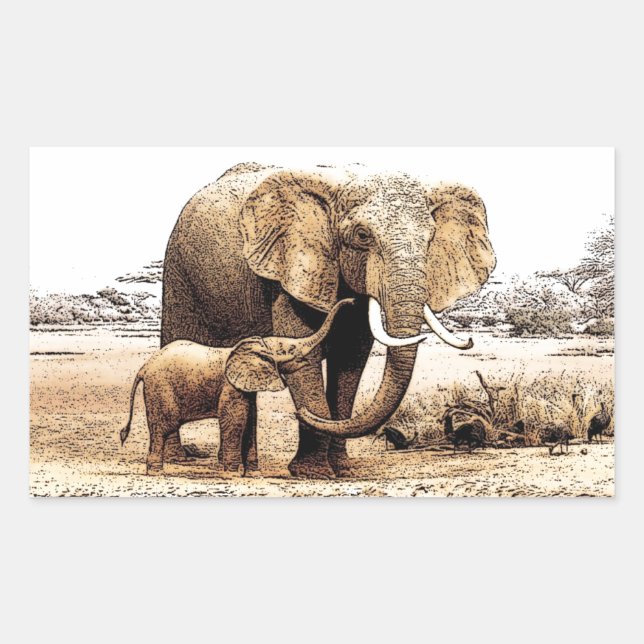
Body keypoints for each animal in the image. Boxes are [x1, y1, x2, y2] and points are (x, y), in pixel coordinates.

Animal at [121, 299, 353, 474]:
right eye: (290, 349)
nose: (351, 301)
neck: (259, 344)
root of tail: (143, 367)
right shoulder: (230, 387)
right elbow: (236, 421)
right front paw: (232, 473)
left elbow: (251, 422)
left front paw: (254, 474)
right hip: (160, 389)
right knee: (161, 428)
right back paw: (156, 472)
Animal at [161, 162, 496, 478]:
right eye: (362, 235)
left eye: (430, 239)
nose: (301, 413)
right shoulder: (290, 271)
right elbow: (302, 355)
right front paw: (314, 473)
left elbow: (351, 361)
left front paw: (342, 469)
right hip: (178, 271)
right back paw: (177, 459)